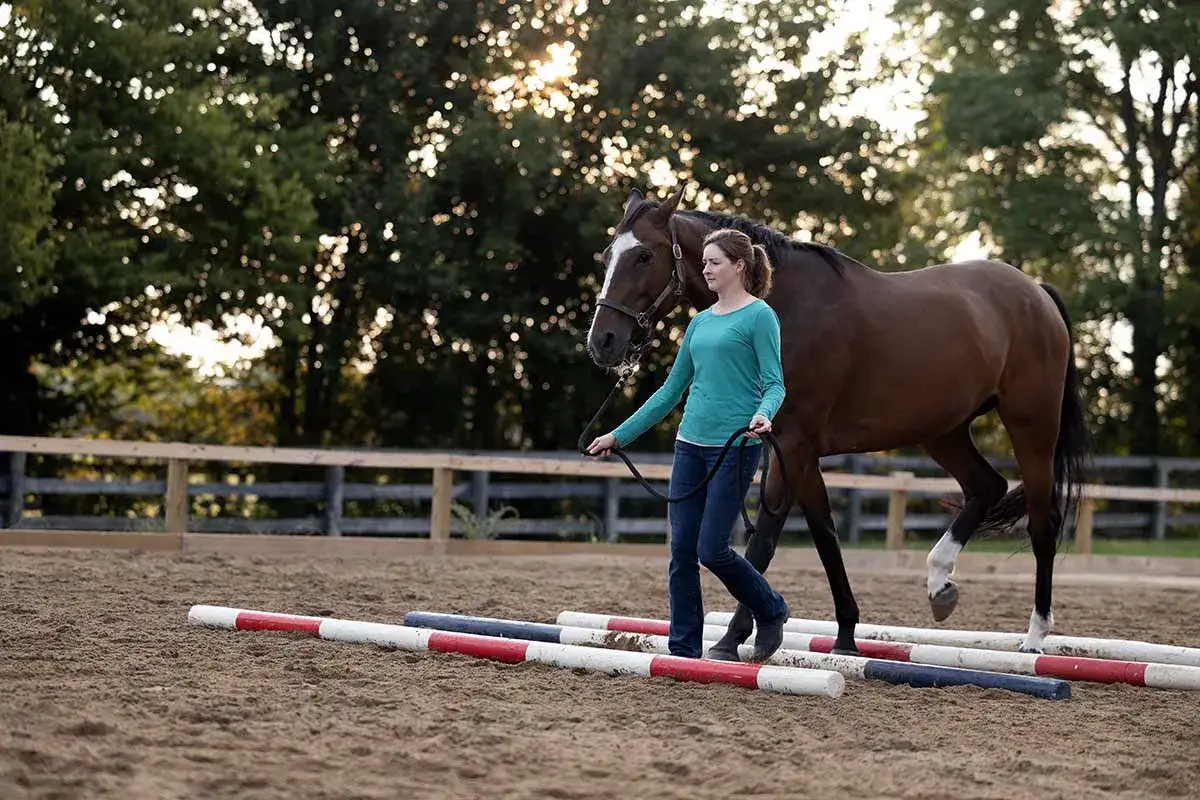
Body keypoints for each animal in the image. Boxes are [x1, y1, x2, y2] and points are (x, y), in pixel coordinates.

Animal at [584, 186, 1089, 658]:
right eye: (608, 255)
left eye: (644, 255)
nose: (603, 341)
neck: (785, 307)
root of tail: (1036, 291)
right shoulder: (797, 451)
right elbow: (825, 535)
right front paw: (846, 633)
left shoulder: (792, 445)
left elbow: (765, 542)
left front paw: (735, 638)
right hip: (943, 431)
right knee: (986, 487)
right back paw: (939, 584)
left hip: (1031, 425)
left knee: (1042, 522)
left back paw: (1034, 637)